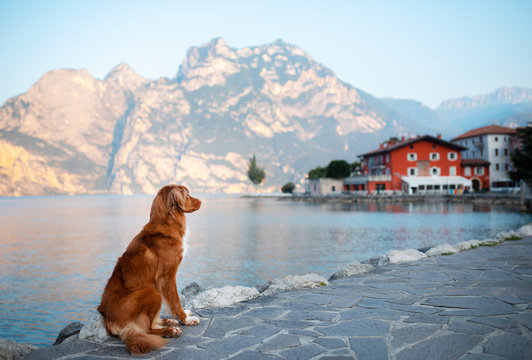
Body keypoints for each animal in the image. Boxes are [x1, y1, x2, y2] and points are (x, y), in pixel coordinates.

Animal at [97, 186, 202, 354]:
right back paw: (171, 330)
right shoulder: (167, 276)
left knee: (150, 323)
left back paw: (169, 322)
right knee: (147, 329)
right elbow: (175, 300)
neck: (167, 223)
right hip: (151, 292)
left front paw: (184, 315)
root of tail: (108, 320)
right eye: (187, 194)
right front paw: (186, 319)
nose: (202, 201)